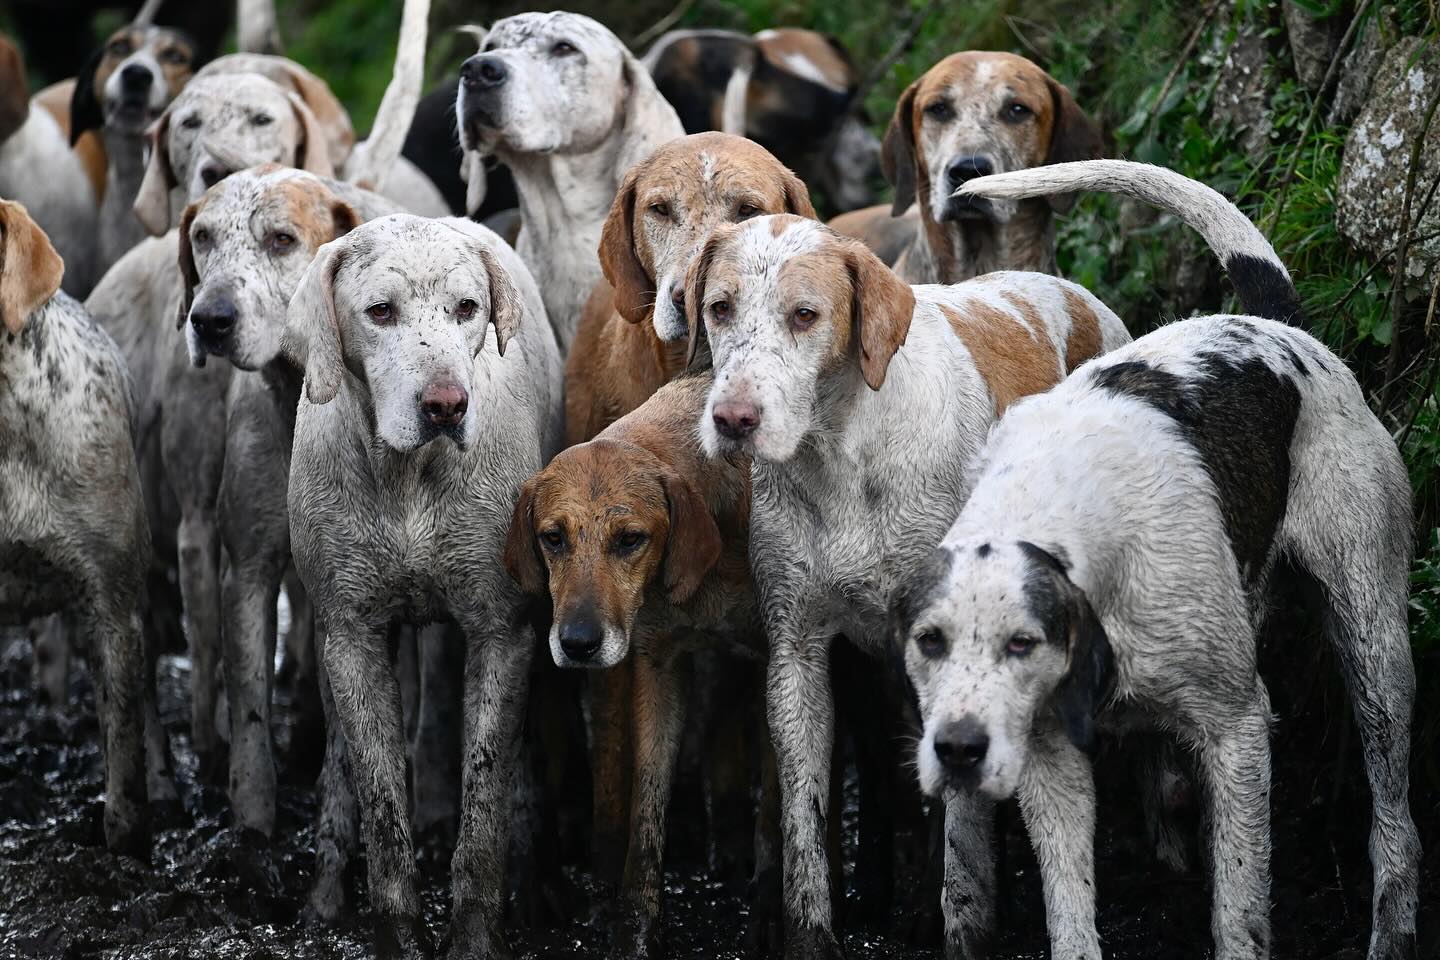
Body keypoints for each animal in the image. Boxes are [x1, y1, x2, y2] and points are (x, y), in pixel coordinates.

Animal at [284, 213, 562, 957]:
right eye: (380, 312)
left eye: (467, 309)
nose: (445, 405)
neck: (407, 475)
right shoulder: (350, 634)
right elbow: (381, 802)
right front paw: (397, 931)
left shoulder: (503, 632)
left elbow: (487, 793)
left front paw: (475, 933)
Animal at [688, 214, 1129, 957]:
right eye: (719, 309)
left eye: (805, 315)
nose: (734, 419)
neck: (841, 453)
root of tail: (1071, 290)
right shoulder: (798, 655)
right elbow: (804, 823)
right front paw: (811, 935)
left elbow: (959, 836)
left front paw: (958, 923)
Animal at [897, 159, 1418, 960]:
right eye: (929, 642)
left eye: (1021, 643)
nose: (956, 748)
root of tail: (1282, 325)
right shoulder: (1048, 756)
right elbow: (1072, 913)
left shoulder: (1237, 730)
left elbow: (1239, 912)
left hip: (1374, 647)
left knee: (1395, 813)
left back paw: (1393, 926)